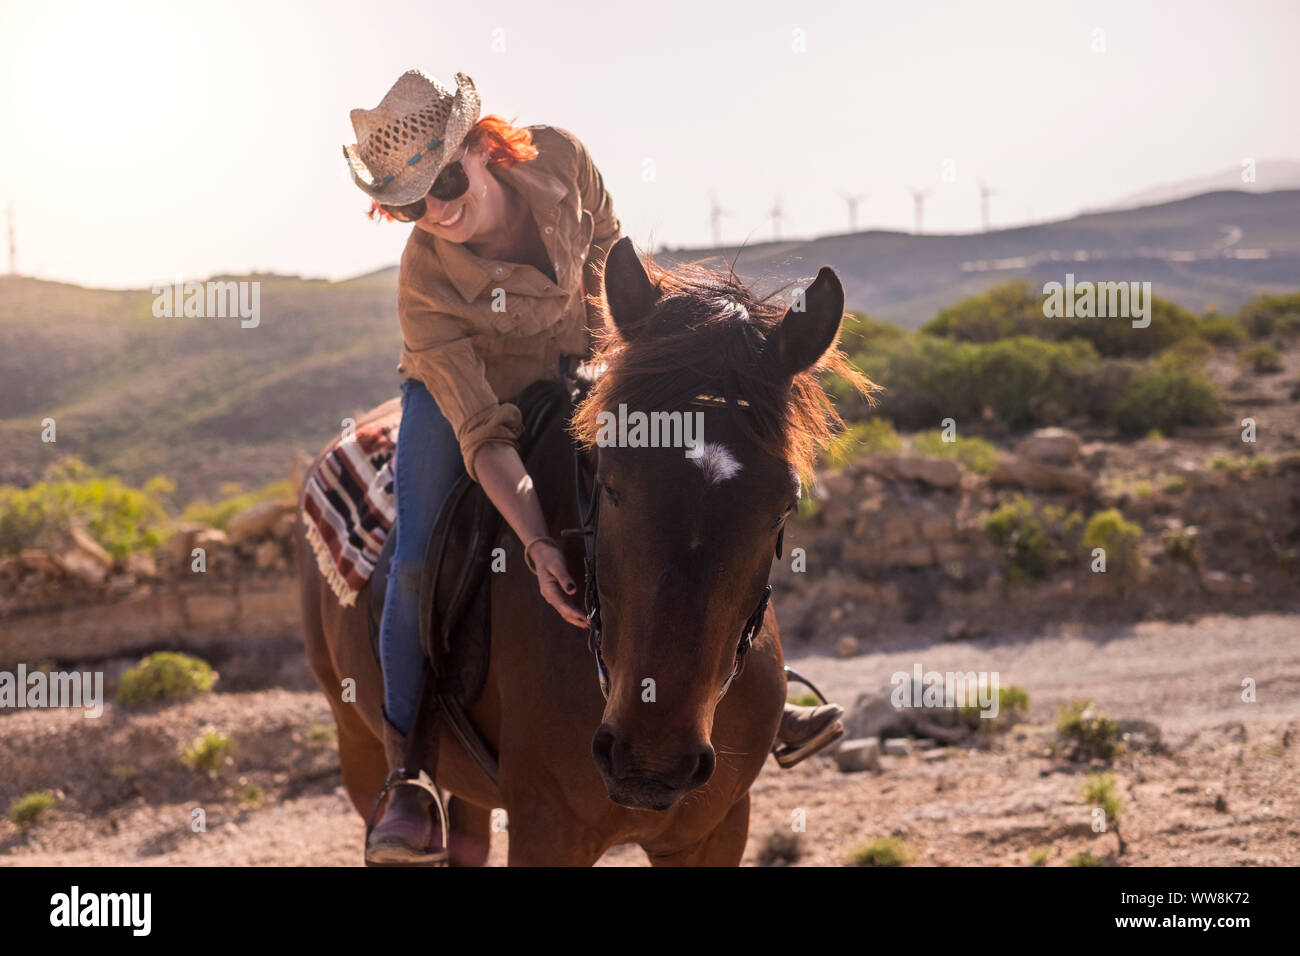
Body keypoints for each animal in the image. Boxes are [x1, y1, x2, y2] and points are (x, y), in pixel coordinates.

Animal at [296, 239, 863, 868]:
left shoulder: (714, 831)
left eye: (784, 506)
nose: (651, 761)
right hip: (357, 742)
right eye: (607, 478)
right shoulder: (547, 832)